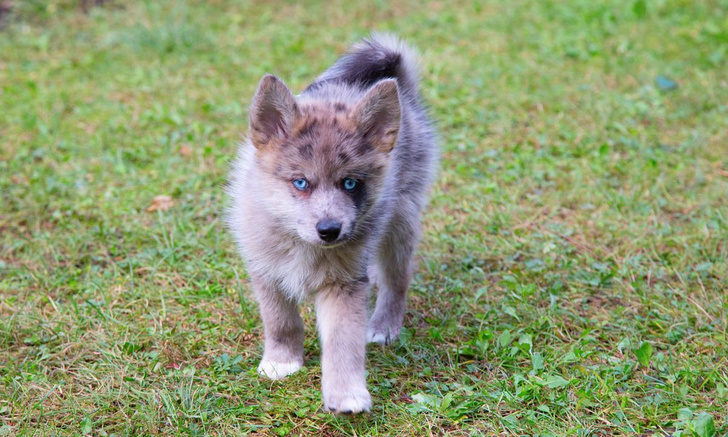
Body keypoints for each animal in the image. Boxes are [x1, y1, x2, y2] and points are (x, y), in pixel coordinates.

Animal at [228, 34, 436, 412]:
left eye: (350, 183)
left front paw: (347, 393)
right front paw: (282, 361)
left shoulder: (344, 284)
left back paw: (384, 326)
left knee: (397, 282)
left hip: (401, 223)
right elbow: (281, 321)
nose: (329, 231)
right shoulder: (266, 271)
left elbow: (343, 341)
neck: (301, 244)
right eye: (300, 183)